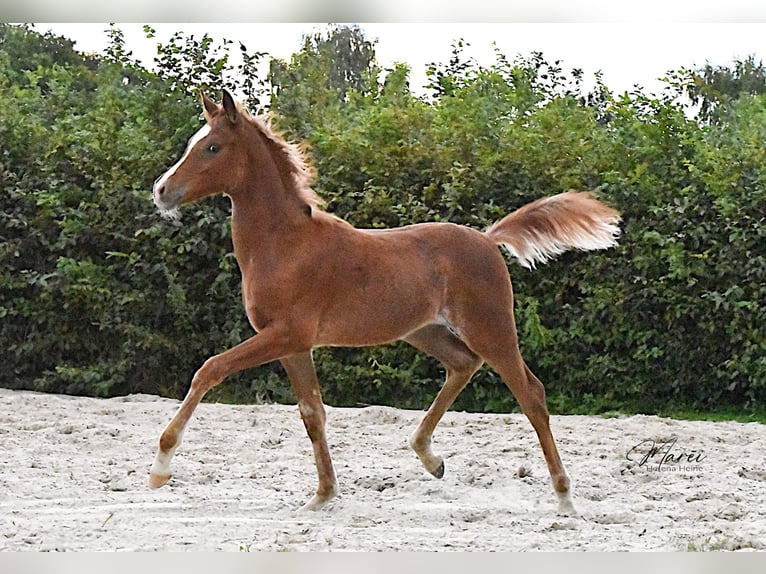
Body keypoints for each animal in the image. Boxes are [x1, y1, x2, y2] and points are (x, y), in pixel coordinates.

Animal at [150, 89, 621, 514]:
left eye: (212, 147)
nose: (161, 190)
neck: (285, 244)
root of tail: (488, 240)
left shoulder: (286, 334)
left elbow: (209, 370)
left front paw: (160, 467)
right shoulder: (293, 344)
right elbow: (312, 413)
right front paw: (323, 496)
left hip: (491, 328)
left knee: (531, 394)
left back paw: (564, 497)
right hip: (425, 332)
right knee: (462, 365)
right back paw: (430, 457)